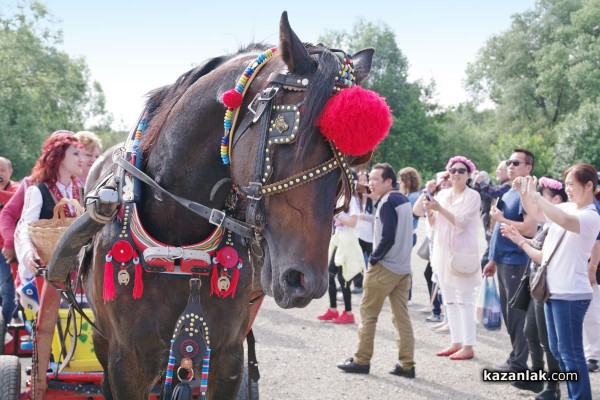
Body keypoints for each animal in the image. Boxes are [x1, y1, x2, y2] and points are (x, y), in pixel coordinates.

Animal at [79, 12, 390, 400]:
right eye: (288, 135)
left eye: (352, 161)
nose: (306, 281)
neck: (179, 242)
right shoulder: (127, 361)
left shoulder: (226, 357)